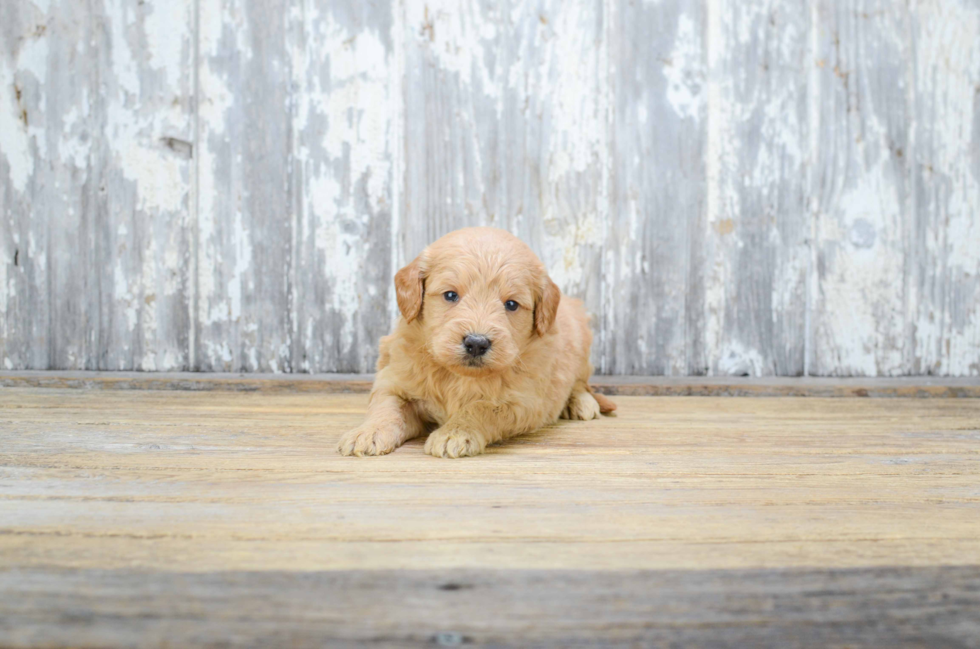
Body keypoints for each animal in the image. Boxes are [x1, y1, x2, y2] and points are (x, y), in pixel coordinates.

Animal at [336, 225, 612, 458]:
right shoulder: (395, 380)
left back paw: (582, 403)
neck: (458, 376)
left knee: (580, 383)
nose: (477, 343)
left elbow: (481, 408)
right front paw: (368, 433)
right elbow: (386, 407)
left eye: (511, 304)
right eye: (450, 295)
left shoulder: (522, 401)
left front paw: (456, 433)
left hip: (580, 344)